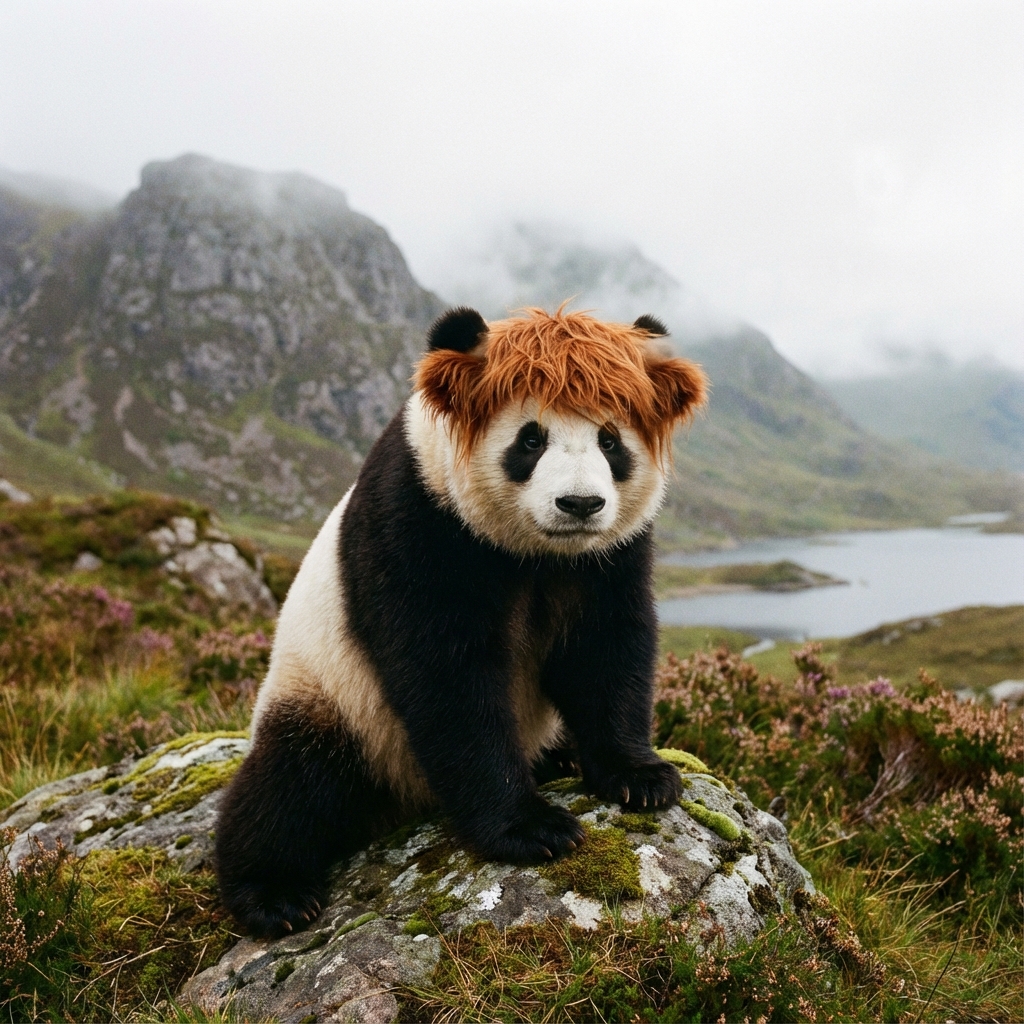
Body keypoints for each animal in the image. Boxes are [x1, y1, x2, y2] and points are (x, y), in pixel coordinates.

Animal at [215, 306, 708, 938]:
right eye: (531, 439)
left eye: (610, 440)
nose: (580, 505)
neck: (537, 552)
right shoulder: (420, 518)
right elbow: (446, 679)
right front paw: (532, 828)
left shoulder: (608, 555)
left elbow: (605, 649)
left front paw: (640, 777)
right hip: (332, 695)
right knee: (291, 783)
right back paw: (275, 894)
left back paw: (559, 757)